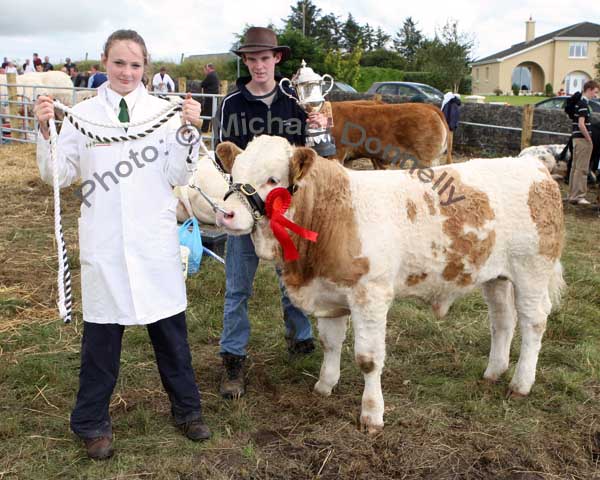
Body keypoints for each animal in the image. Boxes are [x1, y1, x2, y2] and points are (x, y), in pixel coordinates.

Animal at [217, 134, 568, 432]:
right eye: (232, 177)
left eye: (273, 180)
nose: (226, 214)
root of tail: (532, 166)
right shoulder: (330, 293)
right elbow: (331, 344)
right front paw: (324, 385)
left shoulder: (370, 295)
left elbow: (368, 359)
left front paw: (372, 414)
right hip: (496, 277)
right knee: (503, 320)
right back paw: (493, 372)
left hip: (532, 270)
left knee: (534, 321)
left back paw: (520, 384)